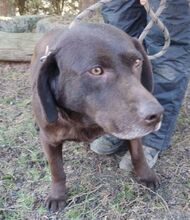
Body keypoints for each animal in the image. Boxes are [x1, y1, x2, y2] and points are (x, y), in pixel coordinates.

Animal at [30, 22, 163, 211]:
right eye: (96, 70)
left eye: (138, 62)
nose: (157, 114)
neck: (86, 121)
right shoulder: (49, 139)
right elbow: (57, 170)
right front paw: (57, 195)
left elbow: (139, 155)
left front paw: (146, 175)